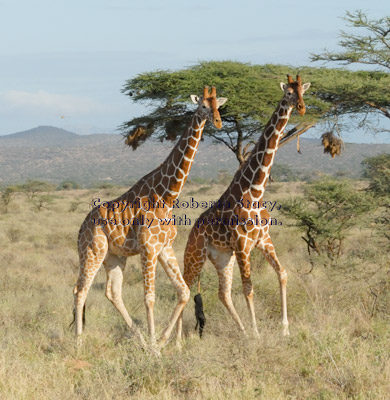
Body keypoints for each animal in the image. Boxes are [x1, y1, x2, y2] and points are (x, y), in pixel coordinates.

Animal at [72, 86, 229, 348]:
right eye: (203, 106)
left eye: (219, 106)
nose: (217, 122)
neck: (167, 195)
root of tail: (81, 228)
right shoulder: (149, 249)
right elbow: (149, 298)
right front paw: (156, 347)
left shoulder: (165, 247)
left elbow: (184, 291)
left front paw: (162, 341)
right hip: (93, 250)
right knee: (80, 290)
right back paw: (79, 343)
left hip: (115, 256)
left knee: (112, 292)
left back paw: (140, 339)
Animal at [177, 74, 310, 338]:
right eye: (289, 93)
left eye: (303, 91)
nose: (301, 107)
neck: (255, 191)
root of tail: (193, 230)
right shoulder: (242, 244)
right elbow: (248, 288)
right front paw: (258, 334)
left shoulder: (263, 239)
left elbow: (283, 274)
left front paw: (284, 329)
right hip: (195, 255)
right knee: (186, 286)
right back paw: (175, 341)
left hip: (221, 257)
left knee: (223, 293)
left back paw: (243, 331)